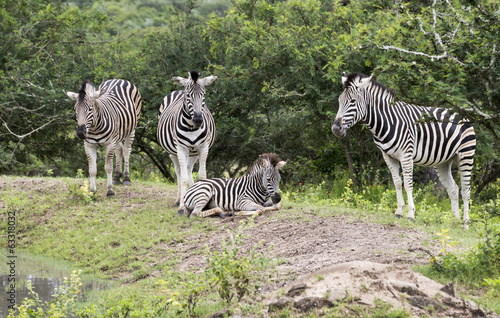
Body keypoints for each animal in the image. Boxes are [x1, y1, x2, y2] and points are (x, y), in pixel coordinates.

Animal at [158, 71, 217, 212]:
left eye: (204, 95)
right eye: (188, 95)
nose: (198, 120)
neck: (191, 127)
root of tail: (179, 89)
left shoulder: (203, 147)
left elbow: (202, 175)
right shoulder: (181, 148)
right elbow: (183, 177)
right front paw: (182, 206)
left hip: (193, 152)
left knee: (189, 169)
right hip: (173, 151)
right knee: (179, 171)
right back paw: (179, 199)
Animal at [332, 72, 476, 229]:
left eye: (352, 101)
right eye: (339, 100)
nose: (335, 129)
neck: (386, 122)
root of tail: (462, 115)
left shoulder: (406, 155)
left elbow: (408, 184)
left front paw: (410, 214)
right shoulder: (388, 156)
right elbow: (397, 183)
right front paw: (399, 212)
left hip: (466, 156)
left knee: (465, 191)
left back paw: (465, 224)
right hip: (443, 162)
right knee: (453, 189)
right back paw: (454, 222)